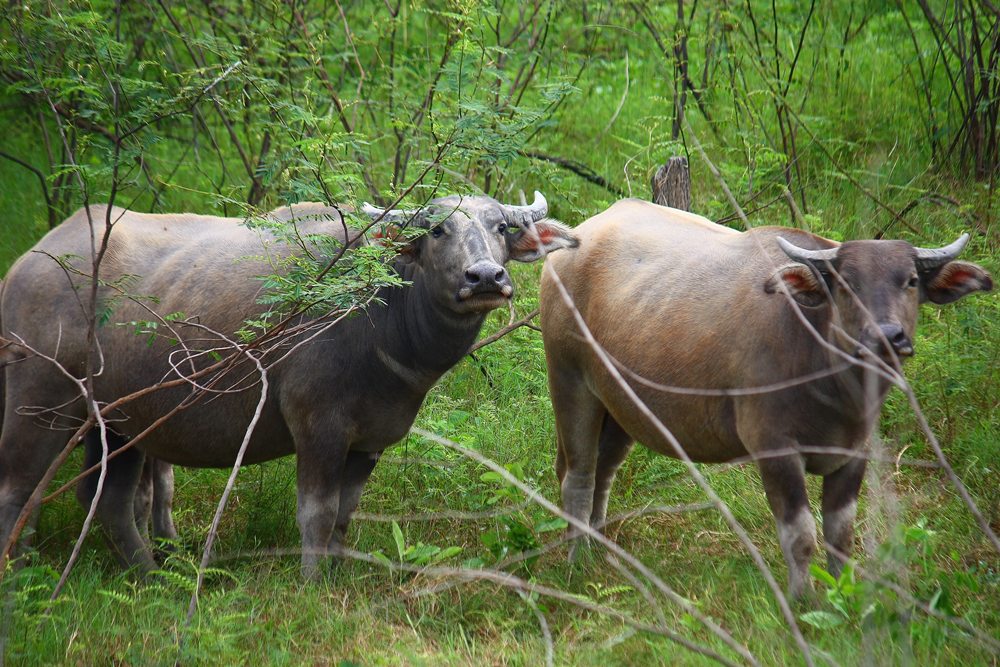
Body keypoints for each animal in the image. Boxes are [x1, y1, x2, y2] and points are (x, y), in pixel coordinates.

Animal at [0, 193, 580, 580]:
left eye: (500, 228)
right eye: (437, 231)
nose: (484, 278)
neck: (383, 316)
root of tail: (26, 264)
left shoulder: (366, 441)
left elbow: (343, 515)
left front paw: (337, 576)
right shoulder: (317, 427)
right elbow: (316, 514)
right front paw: (312, 584)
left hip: (120, 425)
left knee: (110, 502)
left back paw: (151, 576)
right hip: (41, 405)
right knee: (20, 491)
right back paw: (22, 576)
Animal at [544, 200, 996, 600]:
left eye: (911, 280)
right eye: (846, 284)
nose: (887, 335)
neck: (831, 383)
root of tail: (572, 243)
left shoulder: (854, 454)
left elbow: (841, 535)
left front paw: (843, 594)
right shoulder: (774, 450)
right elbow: (800, 536)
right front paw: (803, 599)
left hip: (621, 408)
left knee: (604, 471)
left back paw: (602, 548)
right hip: (569, 382)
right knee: (579, 477)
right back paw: (577, 559)